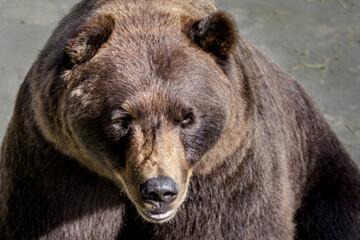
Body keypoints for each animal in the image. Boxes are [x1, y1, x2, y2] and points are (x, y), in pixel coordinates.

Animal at [0, 0, 360, 239]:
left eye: (187, 117)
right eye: (122, 119)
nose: (159, 190)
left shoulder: (229, 171)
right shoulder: (60, 165)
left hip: (322, 173)